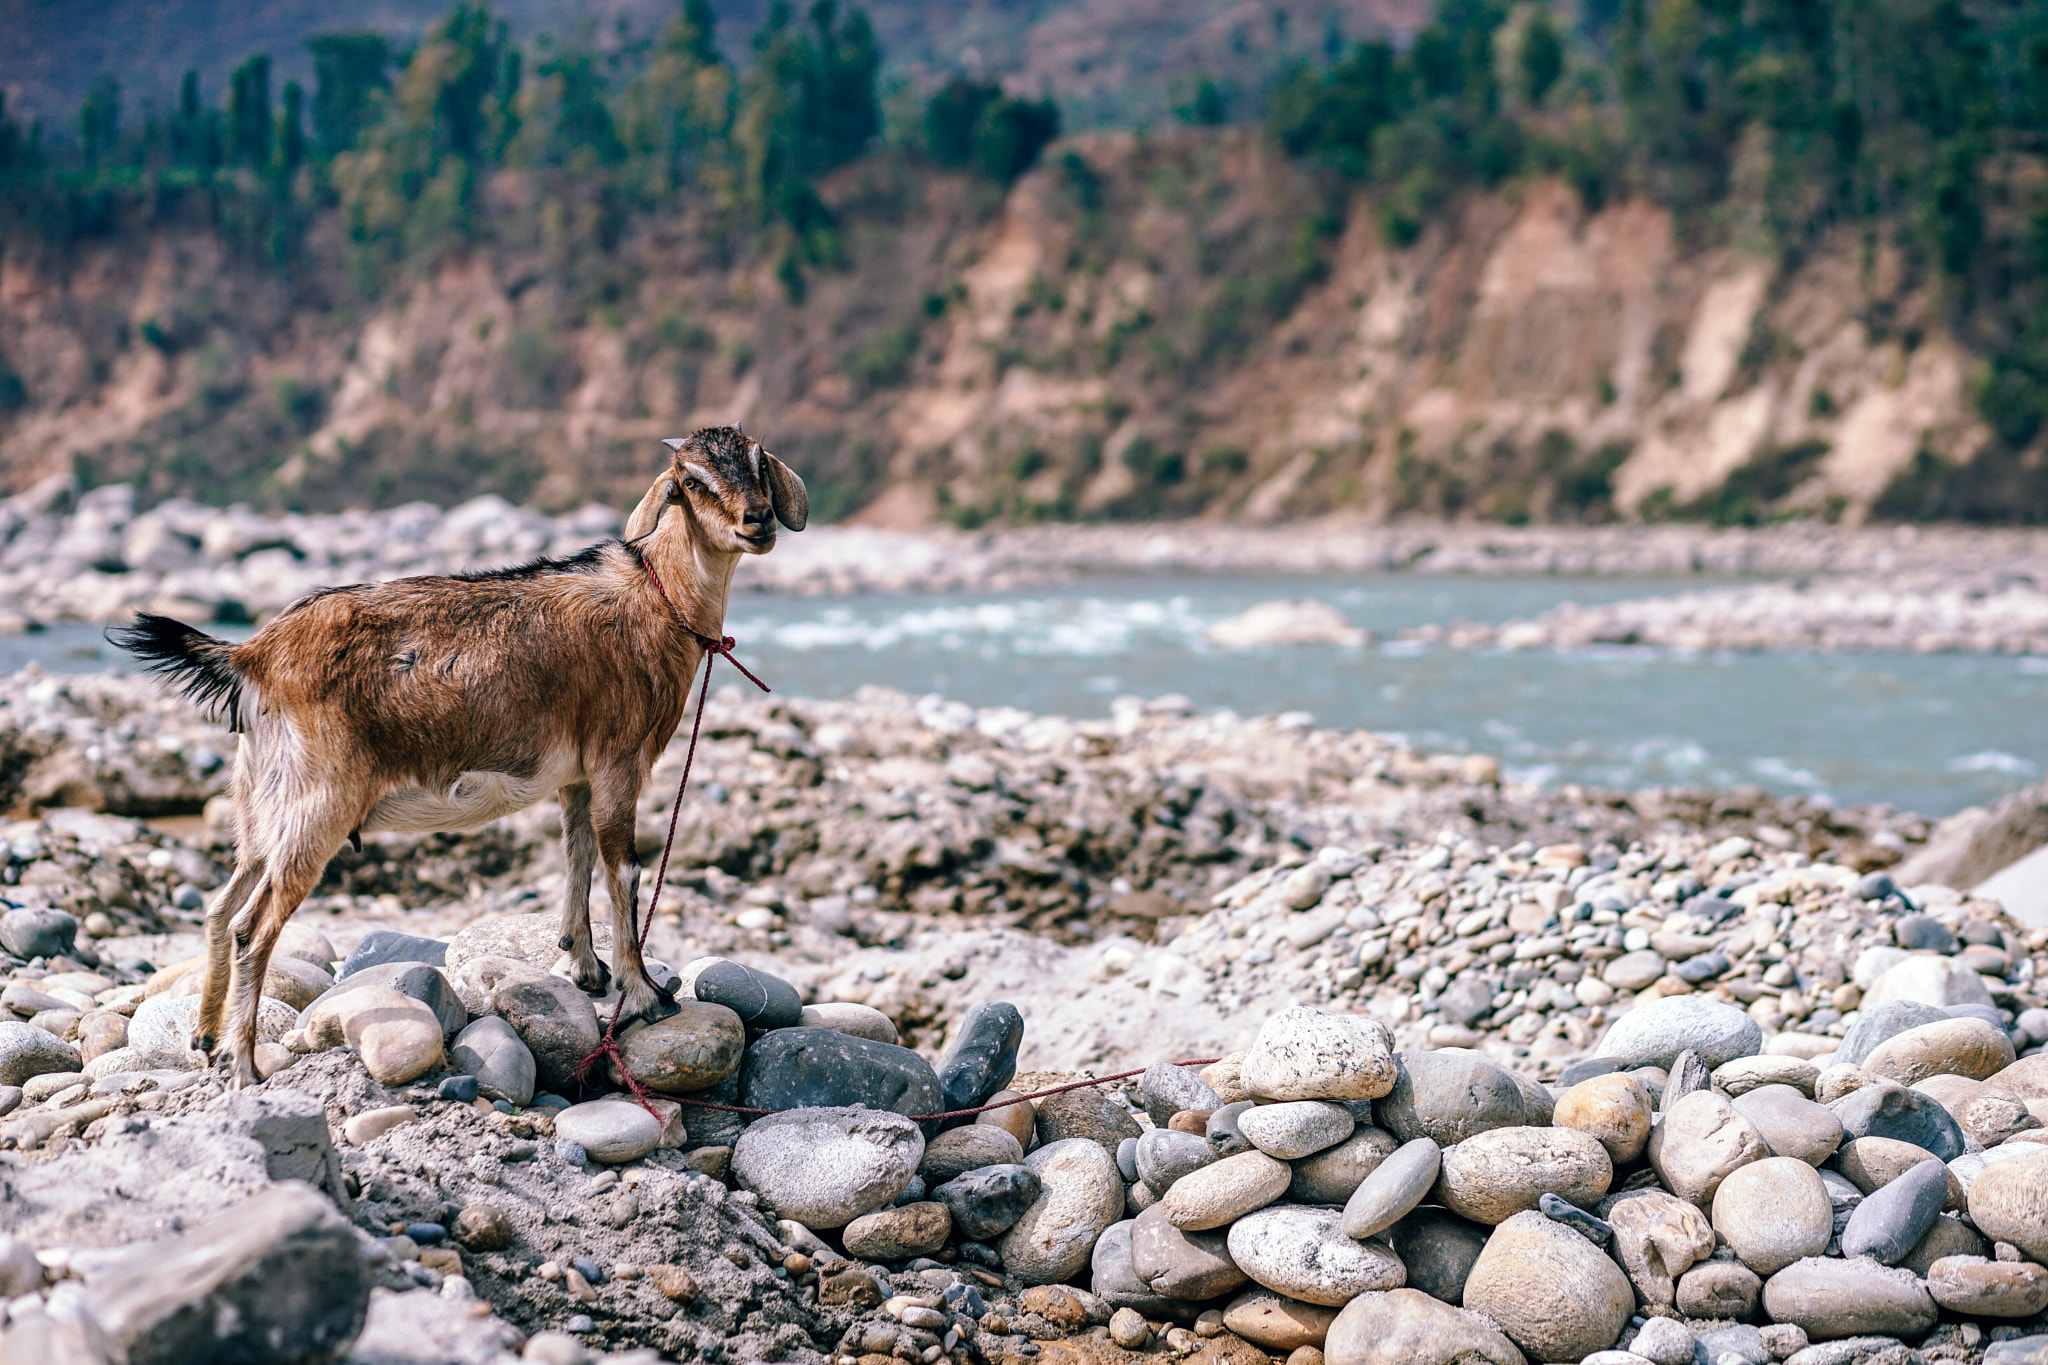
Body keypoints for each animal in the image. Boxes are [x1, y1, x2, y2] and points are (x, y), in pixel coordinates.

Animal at [110, 425, 806, 1087]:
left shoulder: (576, 776)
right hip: (319, 804)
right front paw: (647, 996)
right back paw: (244, 1066)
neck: (657, 600)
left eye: (757, 459)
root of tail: (254, 654)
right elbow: (624, 872)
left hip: (260, 805)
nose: (759, 520)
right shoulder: (618, 760)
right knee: (253, 927)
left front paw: (586, 969)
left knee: (220, 908)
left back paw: (205, 1038)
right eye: (691, 481)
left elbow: (576, 857)